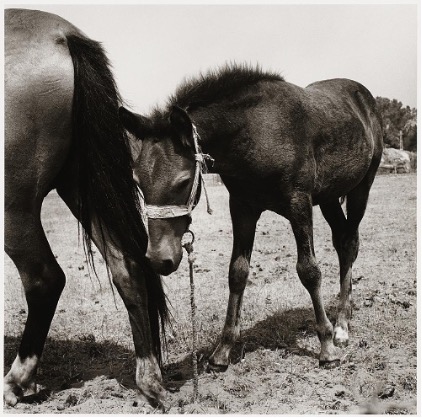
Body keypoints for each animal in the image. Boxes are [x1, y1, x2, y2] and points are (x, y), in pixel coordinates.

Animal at [4, 9, 168, 408]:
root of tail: (64, 36)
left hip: (16, 206)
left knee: (45, 278)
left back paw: (16, 382)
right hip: (85, 187)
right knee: (127, 266)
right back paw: (150, 379)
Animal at [118, 65, 382, 372]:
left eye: (183, 181)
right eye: (137, 181)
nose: (160, 260)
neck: (256, 132)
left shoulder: (299, 204)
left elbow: (309, 270)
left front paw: (326, 347)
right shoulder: (243, 208)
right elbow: (238, 272)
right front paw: (222, 351)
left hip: (361, 188)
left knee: (349, 243)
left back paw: (341, 327)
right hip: (329, 197)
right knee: (342, 241)